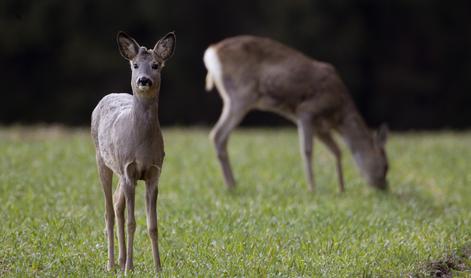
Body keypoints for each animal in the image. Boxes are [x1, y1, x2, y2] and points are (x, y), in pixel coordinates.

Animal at [90, 31, 175, 274]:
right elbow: (131, 222)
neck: (142, 145)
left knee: (117, 204)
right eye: (135, 65)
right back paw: (112, 264)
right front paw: (129, 268)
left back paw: (121, 260)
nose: (143, 80)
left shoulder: (154, 173)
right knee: (109, 211)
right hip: (102, 160)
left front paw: (158, 268)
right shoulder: (129, 170)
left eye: (156, 65)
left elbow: (152, 225)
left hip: (120, 169)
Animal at [205, 34, 390, 192]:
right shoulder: (307, 110)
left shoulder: (320, 127)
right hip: (240, 95)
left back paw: (232, 184)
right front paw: (312, 188)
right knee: (217, 134)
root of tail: (211, 52)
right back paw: (231, 185)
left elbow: (337, 151)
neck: (338, 115)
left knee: (221, 137)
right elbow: (307, 150)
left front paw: (341, 189)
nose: (384, 187)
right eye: (386, 165)